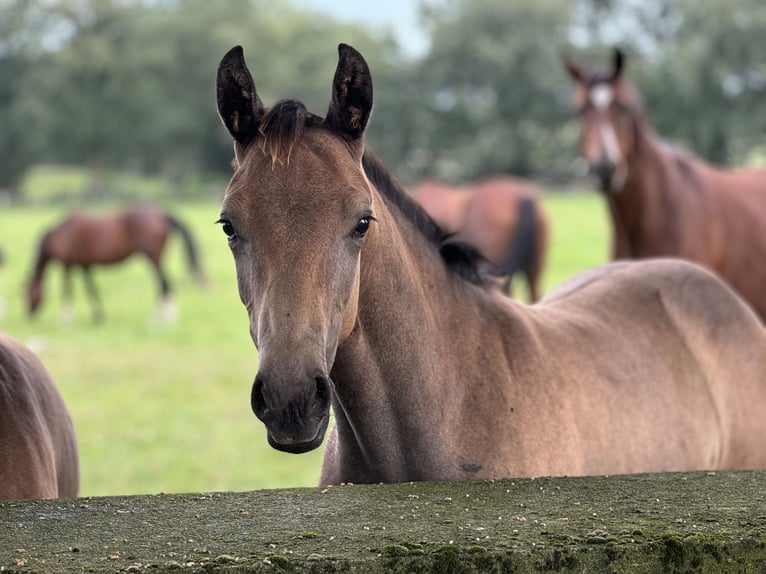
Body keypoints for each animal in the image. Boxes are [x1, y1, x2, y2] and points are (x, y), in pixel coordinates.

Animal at [27, 204, 207, 324]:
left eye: (26, 294)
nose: (28, 314)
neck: (60, 234)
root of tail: (161, 214)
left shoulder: (67, 265)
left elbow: (67, 290)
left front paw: (66, 319)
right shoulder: (85, 265)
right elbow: (92, 290)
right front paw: (99, 316)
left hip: (152, 257)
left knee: (164, 282)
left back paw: (165, 317)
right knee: (162, 283)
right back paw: (160, 315)